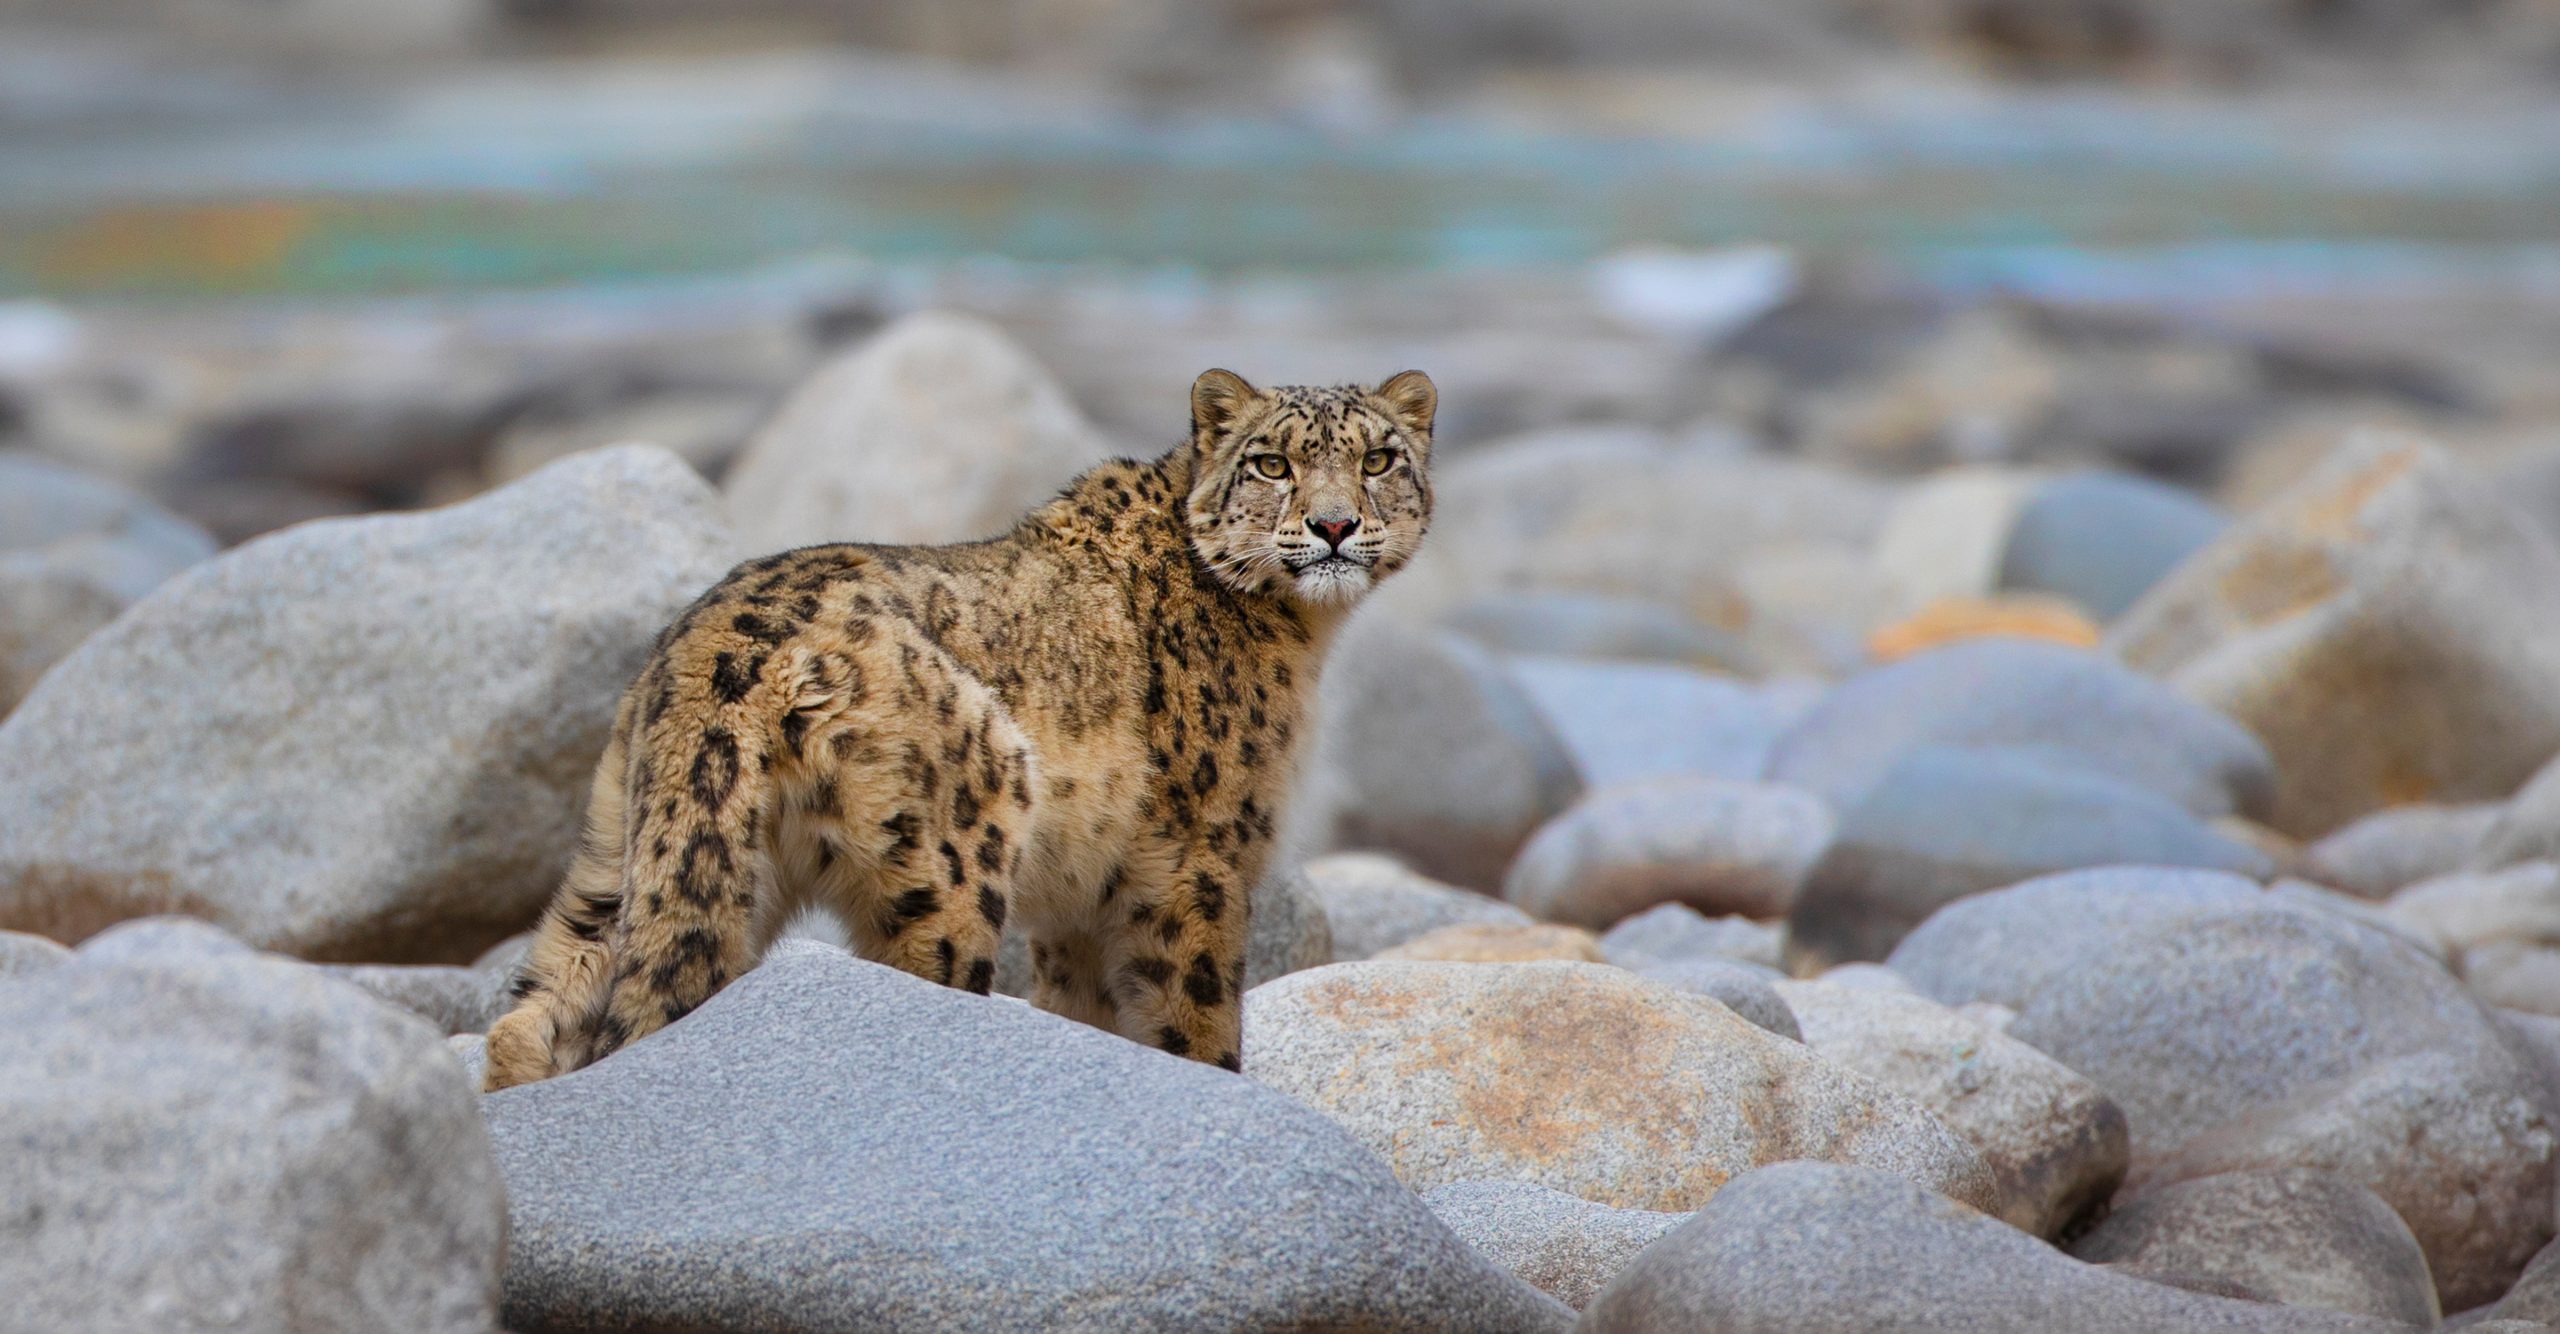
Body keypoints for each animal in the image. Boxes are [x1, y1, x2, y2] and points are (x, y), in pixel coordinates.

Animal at [482, 368, 1436, 1090]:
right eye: (1272, 463)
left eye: (1379, 457)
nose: (1335, 525)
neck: (1304, 640)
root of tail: (715, 649)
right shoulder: (1203, 862)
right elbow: (1191, 1021)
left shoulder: (1082, 903)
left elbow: (1085, 1012)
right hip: (951, 858)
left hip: (618, 856)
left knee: (538, 1009)